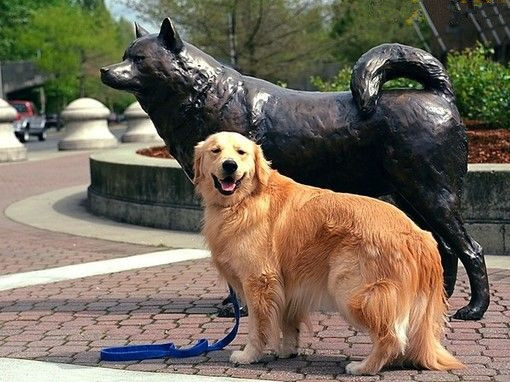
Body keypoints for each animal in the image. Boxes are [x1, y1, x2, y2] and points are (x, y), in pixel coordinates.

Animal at [193, 132, 464, 376]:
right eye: (215, 151)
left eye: (241, 152)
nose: (230, 165)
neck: (244, 200)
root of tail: (419, 235)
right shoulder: (287, 285)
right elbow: (288, 324)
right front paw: (287, 350)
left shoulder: (259, 282)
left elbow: (257, 327)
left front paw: (249, 355)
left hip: (352, 290)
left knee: (392, 337)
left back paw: (364, 367)